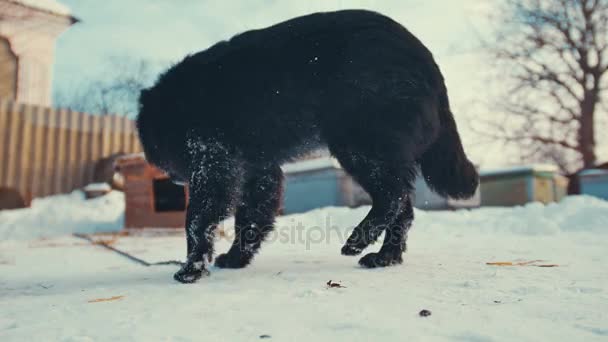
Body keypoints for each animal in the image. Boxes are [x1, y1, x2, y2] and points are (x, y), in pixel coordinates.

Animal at [138, 10, 480, 284]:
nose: (173, 179)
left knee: (392, 196)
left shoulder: (213, 165)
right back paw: (384, 257)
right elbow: (250, 219)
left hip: (359, 144)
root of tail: (428, 61)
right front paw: (236, 259)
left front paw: (190, 269)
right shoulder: (258, 171)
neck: (181, 104)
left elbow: (197, 221)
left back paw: (358, 240)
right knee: (404, 208)